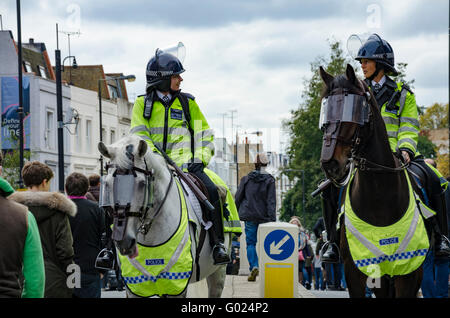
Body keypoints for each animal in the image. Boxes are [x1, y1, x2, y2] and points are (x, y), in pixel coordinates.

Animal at [99, 135, 232, 298]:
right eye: (108, 184)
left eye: (142, 183)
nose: (124, 241)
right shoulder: (135, 286)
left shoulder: (176, 284)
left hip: (218, 273)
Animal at [318, 64, 424, 298]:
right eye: (325, 110)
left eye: (352, 110)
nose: (330, 163)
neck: (379, 195)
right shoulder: (356, 270)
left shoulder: (410, 271)